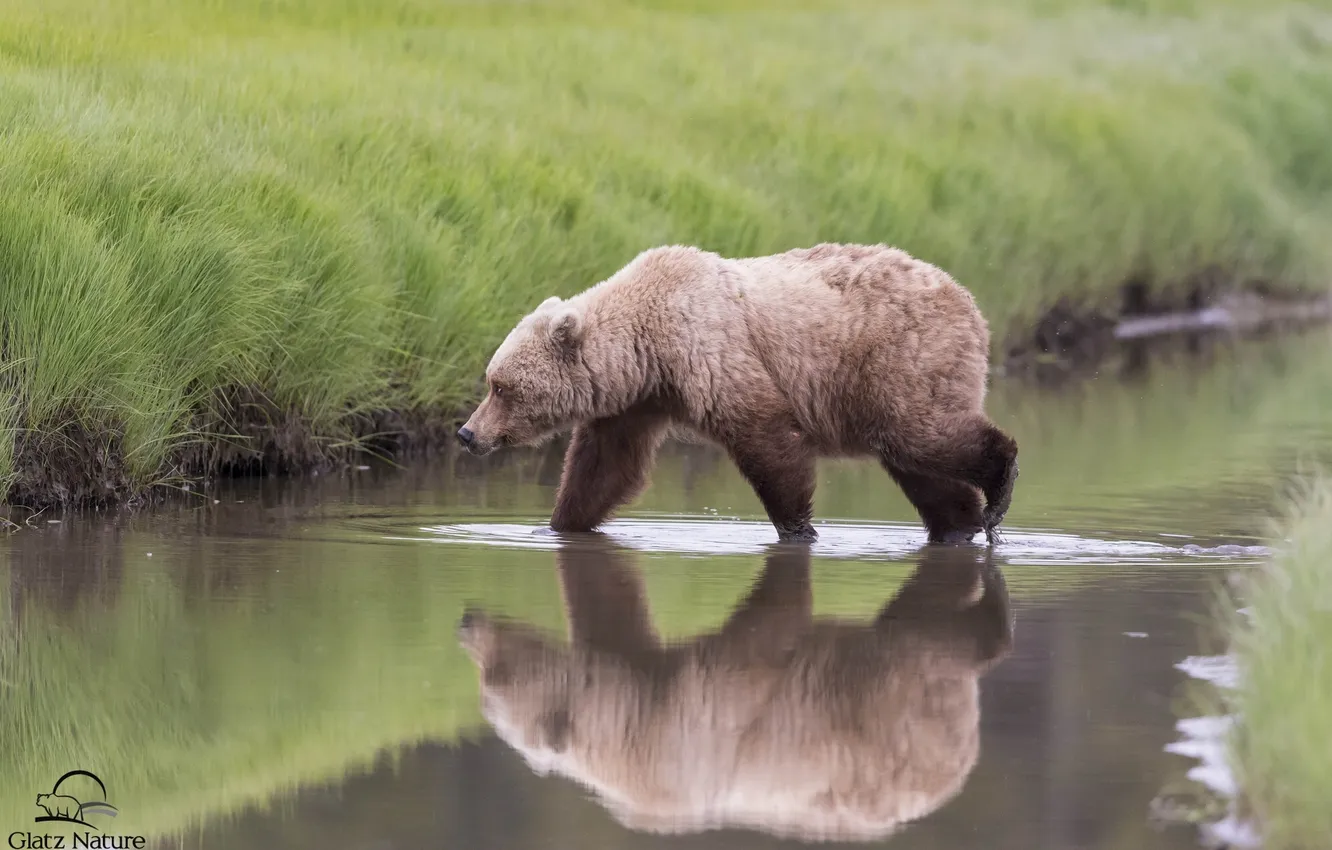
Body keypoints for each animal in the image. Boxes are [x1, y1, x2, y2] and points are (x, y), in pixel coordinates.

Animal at [456, 243, 1019, 545]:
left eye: (500, 387)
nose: (466, 433)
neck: (648, 346)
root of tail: (969, 303)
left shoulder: (714, 353)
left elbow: (768, 441)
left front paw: (797, 529)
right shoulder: (636, 402)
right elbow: (604, 468)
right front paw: (556, 525)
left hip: (898, 361)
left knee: (921, 434)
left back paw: (999, 483)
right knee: (920, 468)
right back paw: (960, 523)